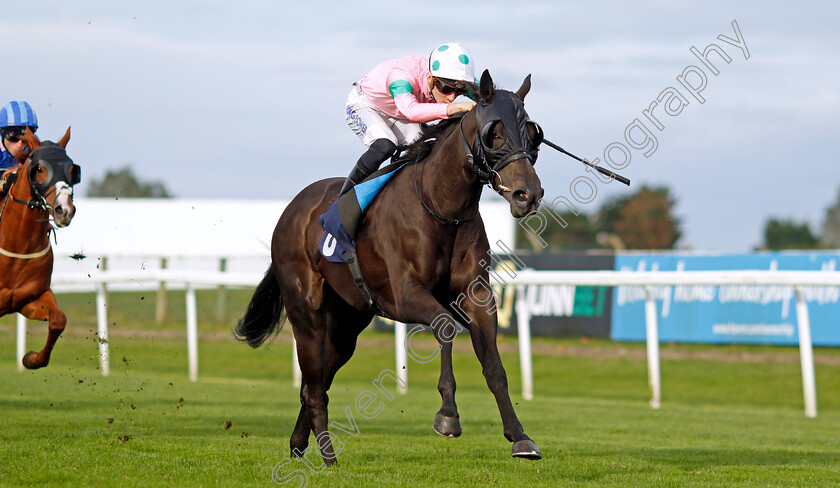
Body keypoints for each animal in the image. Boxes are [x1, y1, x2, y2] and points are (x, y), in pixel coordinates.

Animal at [0, 127, 80, 368]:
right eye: (40, 169)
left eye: (72, 169)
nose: (65, 210)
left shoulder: (28, 298)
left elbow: (58, 320)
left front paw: (32, 359)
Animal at [238, 71, 544, 466]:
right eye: (495, 132)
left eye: (533, 133)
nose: (528, 194)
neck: (441, 206)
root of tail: (292, 210)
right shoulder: (405, 295)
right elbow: (445, 327)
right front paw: (447, 415)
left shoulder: (477, 294)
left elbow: (493, 365)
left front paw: (520, 437)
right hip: (306, 311)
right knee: (314, 386)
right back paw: (328, 455)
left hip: (347, 323)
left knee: (316, 381)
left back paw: (298, 443)